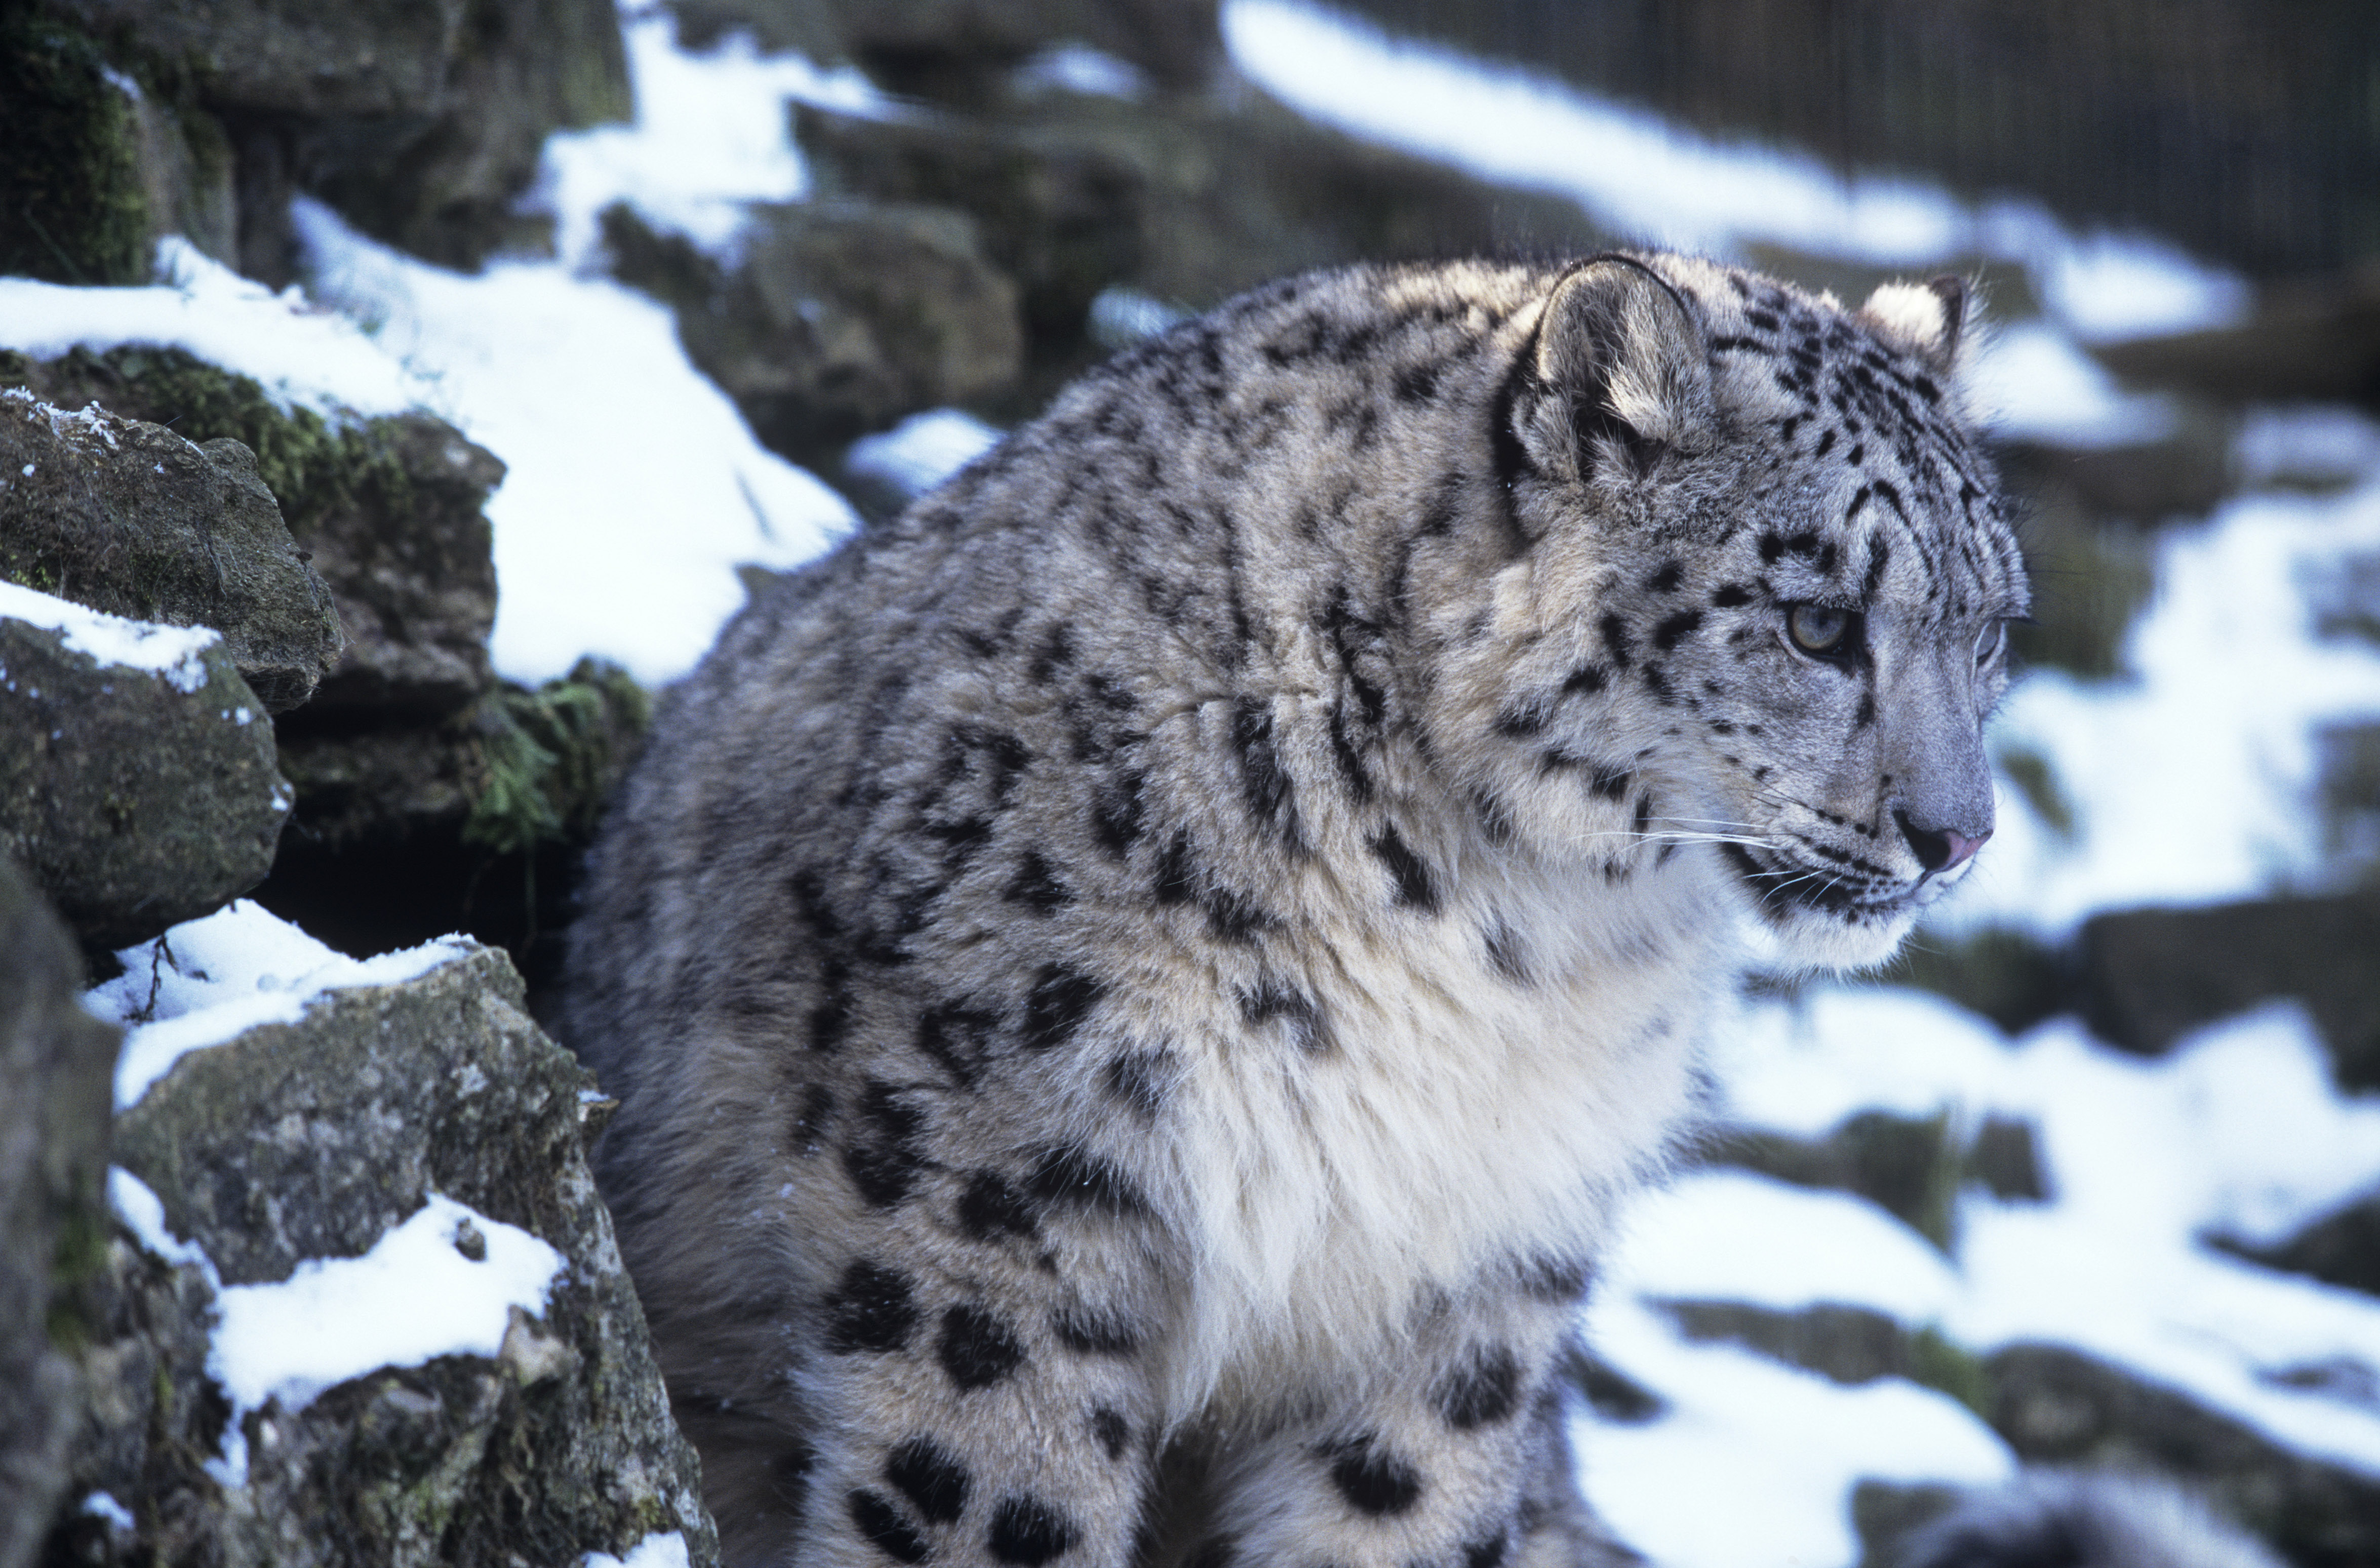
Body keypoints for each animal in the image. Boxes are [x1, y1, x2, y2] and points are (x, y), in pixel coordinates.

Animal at [562, 254, 2028, 1568]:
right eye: (1816, 621)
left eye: (1990, 632)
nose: (1957, 836)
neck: (1518, 943)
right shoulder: (1010, 1177)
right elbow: (997, 1494)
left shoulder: (1471, 1275)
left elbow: (1396, 1507)